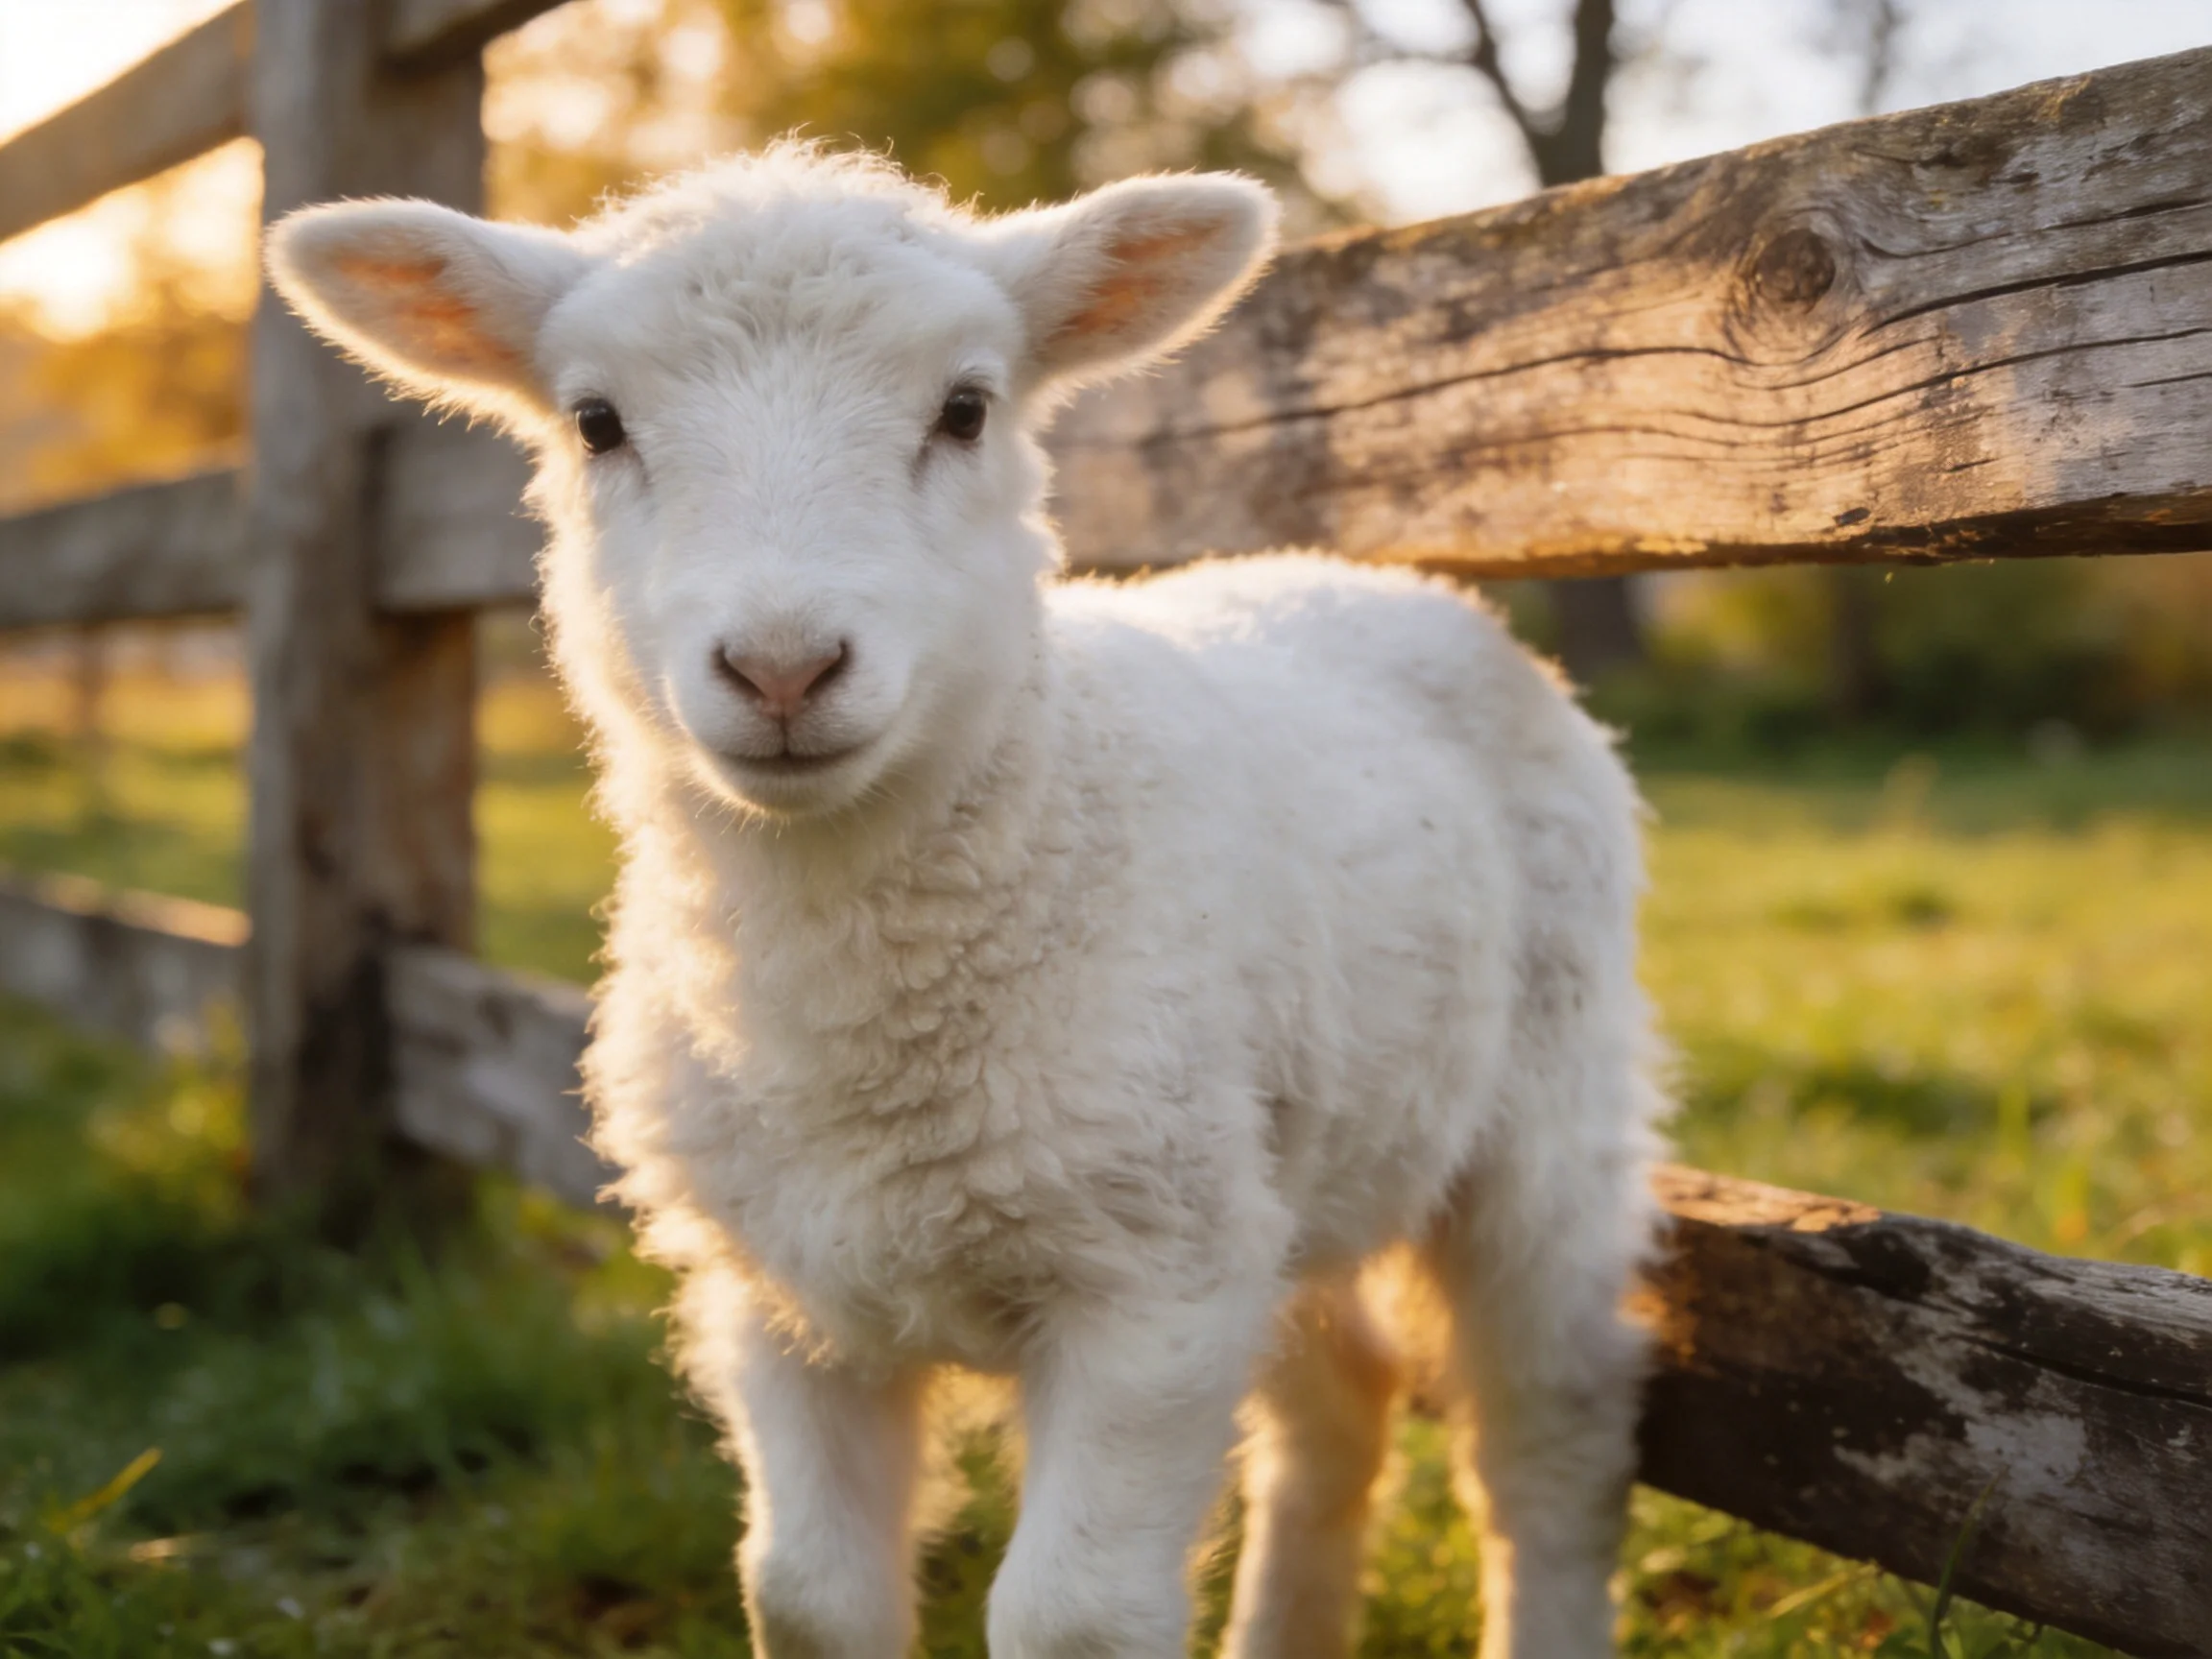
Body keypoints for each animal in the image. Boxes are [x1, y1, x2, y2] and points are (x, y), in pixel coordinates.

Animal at [266, 145, 1668, 1659]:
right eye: (595, 423)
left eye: (964, 408)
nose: (782, 668)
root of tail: (1373, 574)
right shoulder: (778, 1293)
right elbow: (805, 1598)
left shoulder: (1151, 1286)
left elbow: (1075, 1621)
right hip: (1286, 1167)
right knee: (1339, 1403)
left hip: (1542, 1115)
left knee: (1553, 1434)